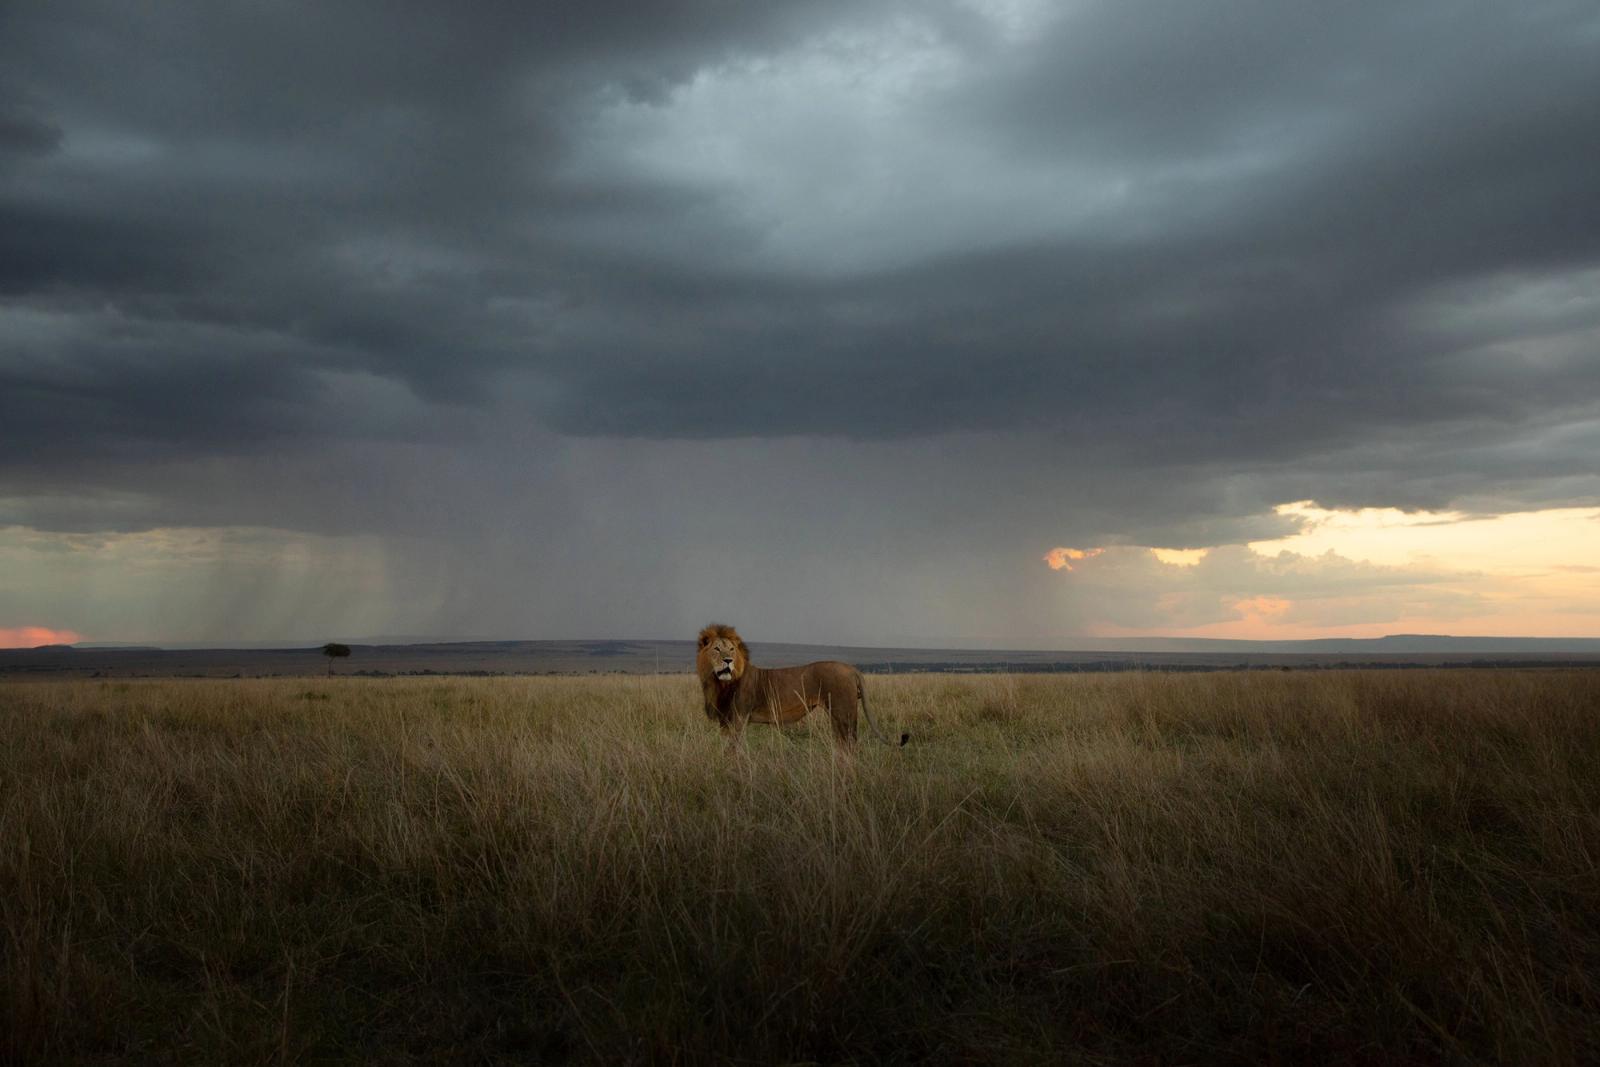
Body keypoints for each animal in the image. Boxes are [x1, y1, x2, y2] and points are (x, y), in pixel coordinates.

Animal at [696, 623, 907, 747]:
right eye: (717, 649)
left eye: (731, 649)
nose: (728, 660)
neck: (718, 684)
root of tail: (851, 668)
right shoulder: (726, 721)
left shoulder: (739, 718)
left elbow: (734, 749)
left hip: (843, 712)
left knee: (850, 743)